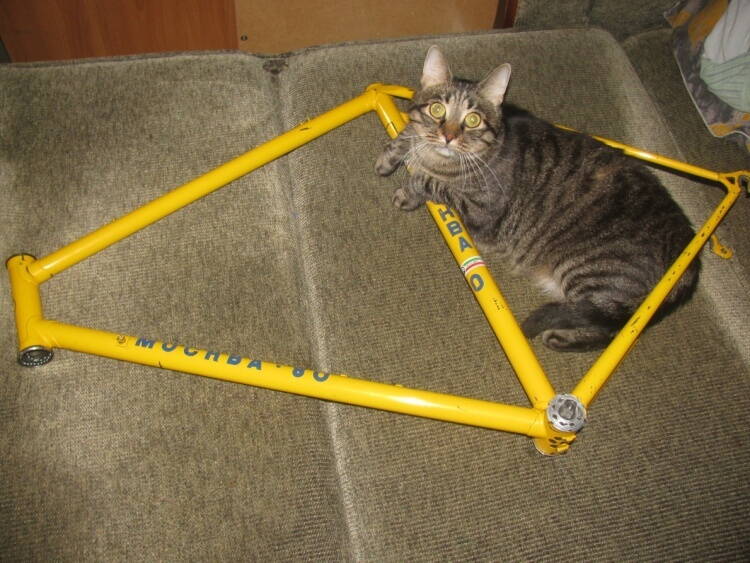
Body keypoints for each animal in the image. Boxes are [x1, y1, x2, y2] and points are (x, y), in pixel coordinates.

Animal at [376, 45, 700, 352]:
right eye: (436, 110)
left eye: (473, 119)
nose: (449, 136)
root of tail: (687, 244)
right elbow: (407, 133)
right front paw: (391, 156)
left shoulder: (483, 213)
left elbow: (430, 181)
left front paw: (408, 190)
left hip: (593, 271)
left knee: (611, 328)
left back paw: (560, 337)